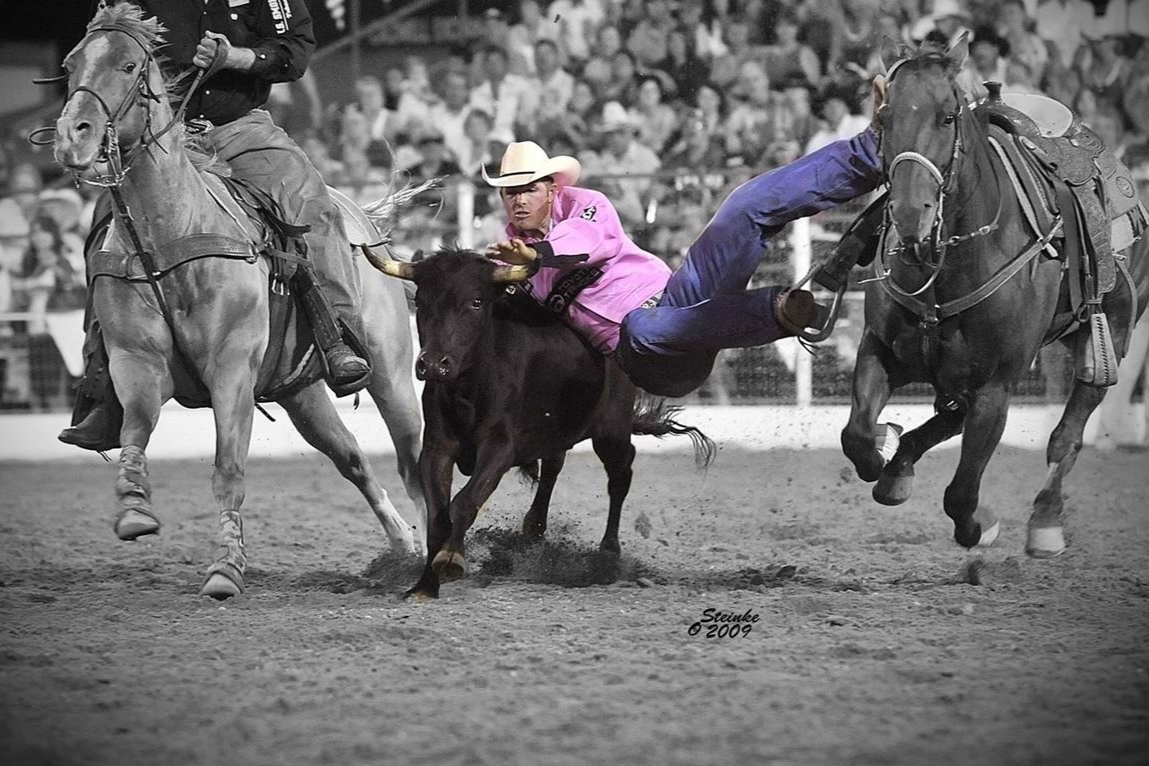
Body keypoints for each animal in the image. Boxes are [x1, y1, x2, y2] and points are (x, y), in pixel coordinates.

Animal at [841, 39, 1144, 558]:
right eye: (884, 114)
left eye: (947, 117)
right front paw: (886, 455)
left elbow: (962, 490)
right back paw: (900, 466)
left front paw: (978, 524)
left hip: (1112, 330)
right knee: (949, 416)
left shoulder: (996, 387)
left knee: (1068, 432)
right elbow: (857, 435)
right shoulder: (878, 351)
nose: (909, 215)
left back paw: (1046, 520)